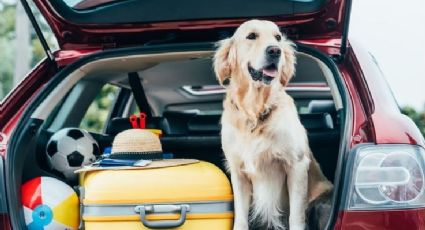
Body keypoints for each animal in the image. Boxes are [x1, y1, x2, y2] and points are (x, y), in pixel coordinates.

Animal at [214, 19, 332, 230]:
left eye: (277, 37)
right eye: (251, 36)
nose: (275, 51)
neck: (255, 112)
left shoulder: (296, 165)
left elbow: (296, 216)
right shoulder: (238, 171)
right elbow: (240, 217)